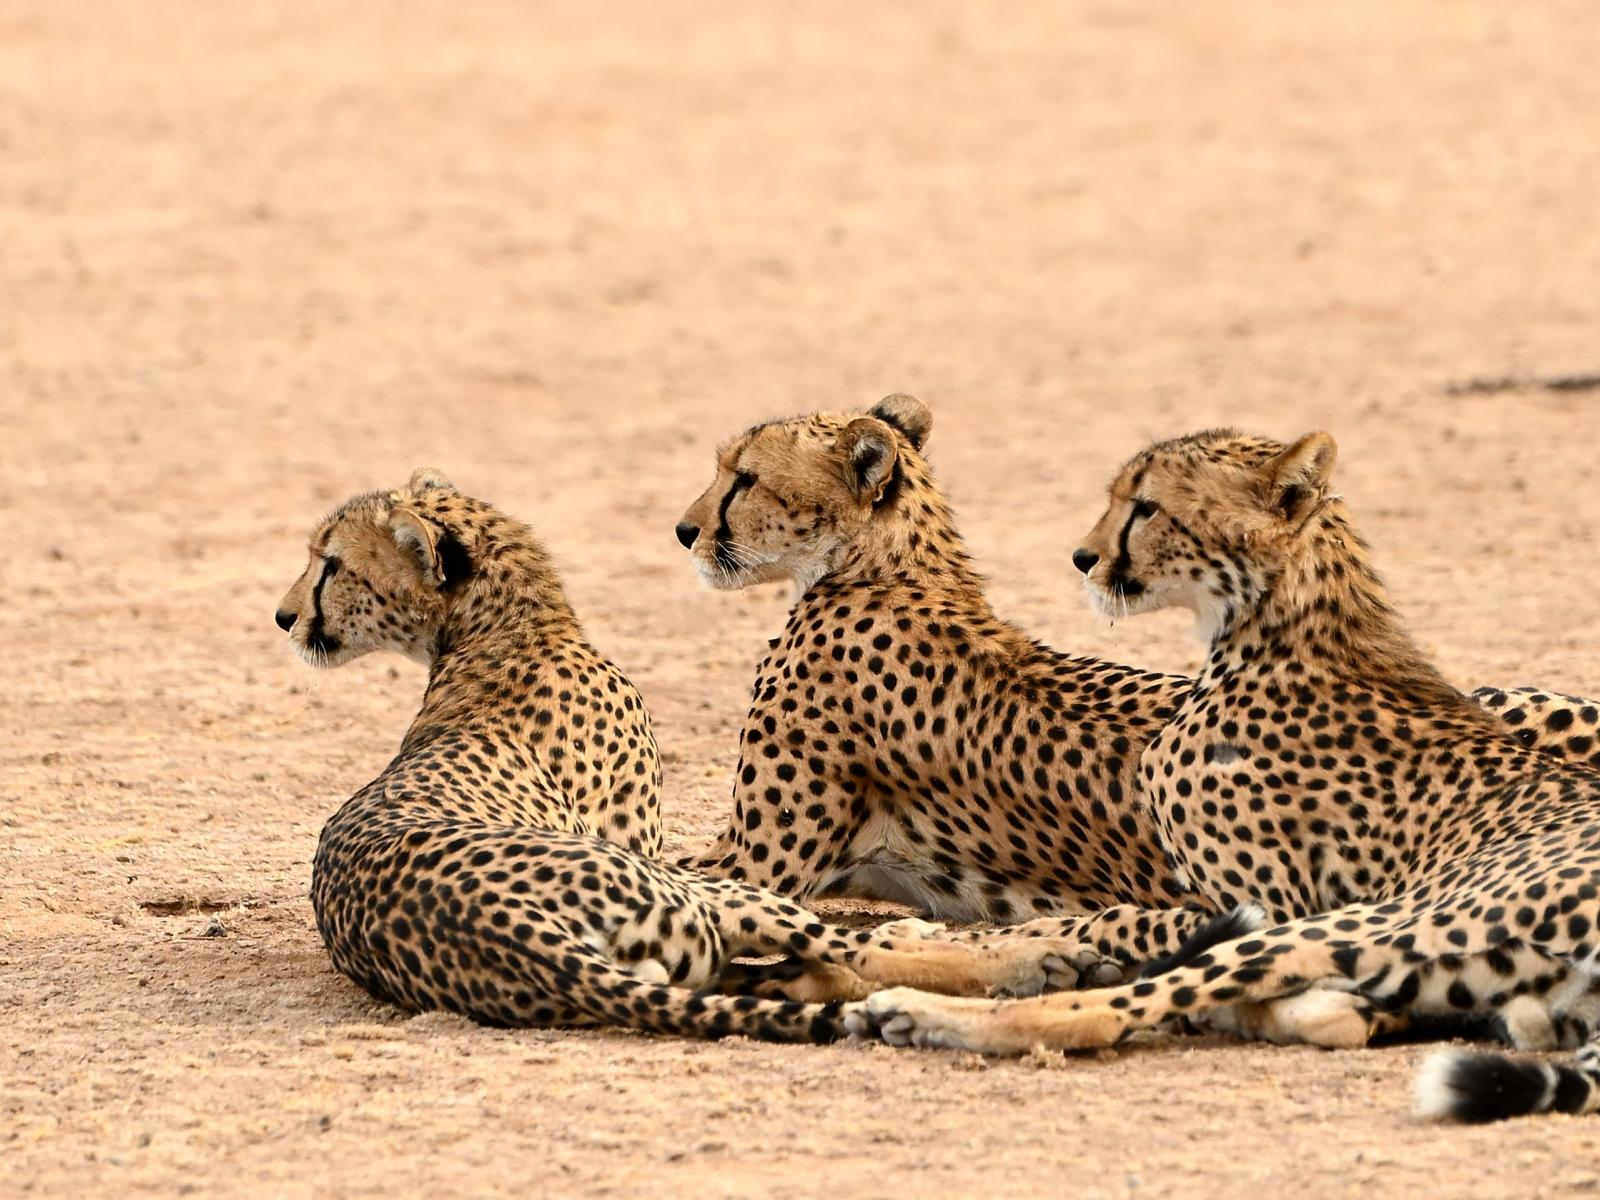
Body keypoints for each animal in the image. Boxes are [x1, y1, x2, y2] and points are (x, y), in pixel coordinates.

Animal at [277, 469, 1106, 1043]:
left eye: (332, 564)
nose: (284, 617)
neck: (504, 630)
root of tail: (514, 938)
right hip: (691, 896)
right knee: (849, 950)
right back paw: (1033, 954)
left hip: (684, 943)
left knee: (810, 970)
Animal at [847, 427, 1600, 1124]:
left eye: (1146, 506)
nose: (1083, 557)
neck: (1281, 627)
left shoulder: (1273, 903)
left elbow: (1107, 923)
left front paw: (912, 948)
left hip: (1369, 924)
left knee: (1100, 1012)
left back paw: (907, 1006)